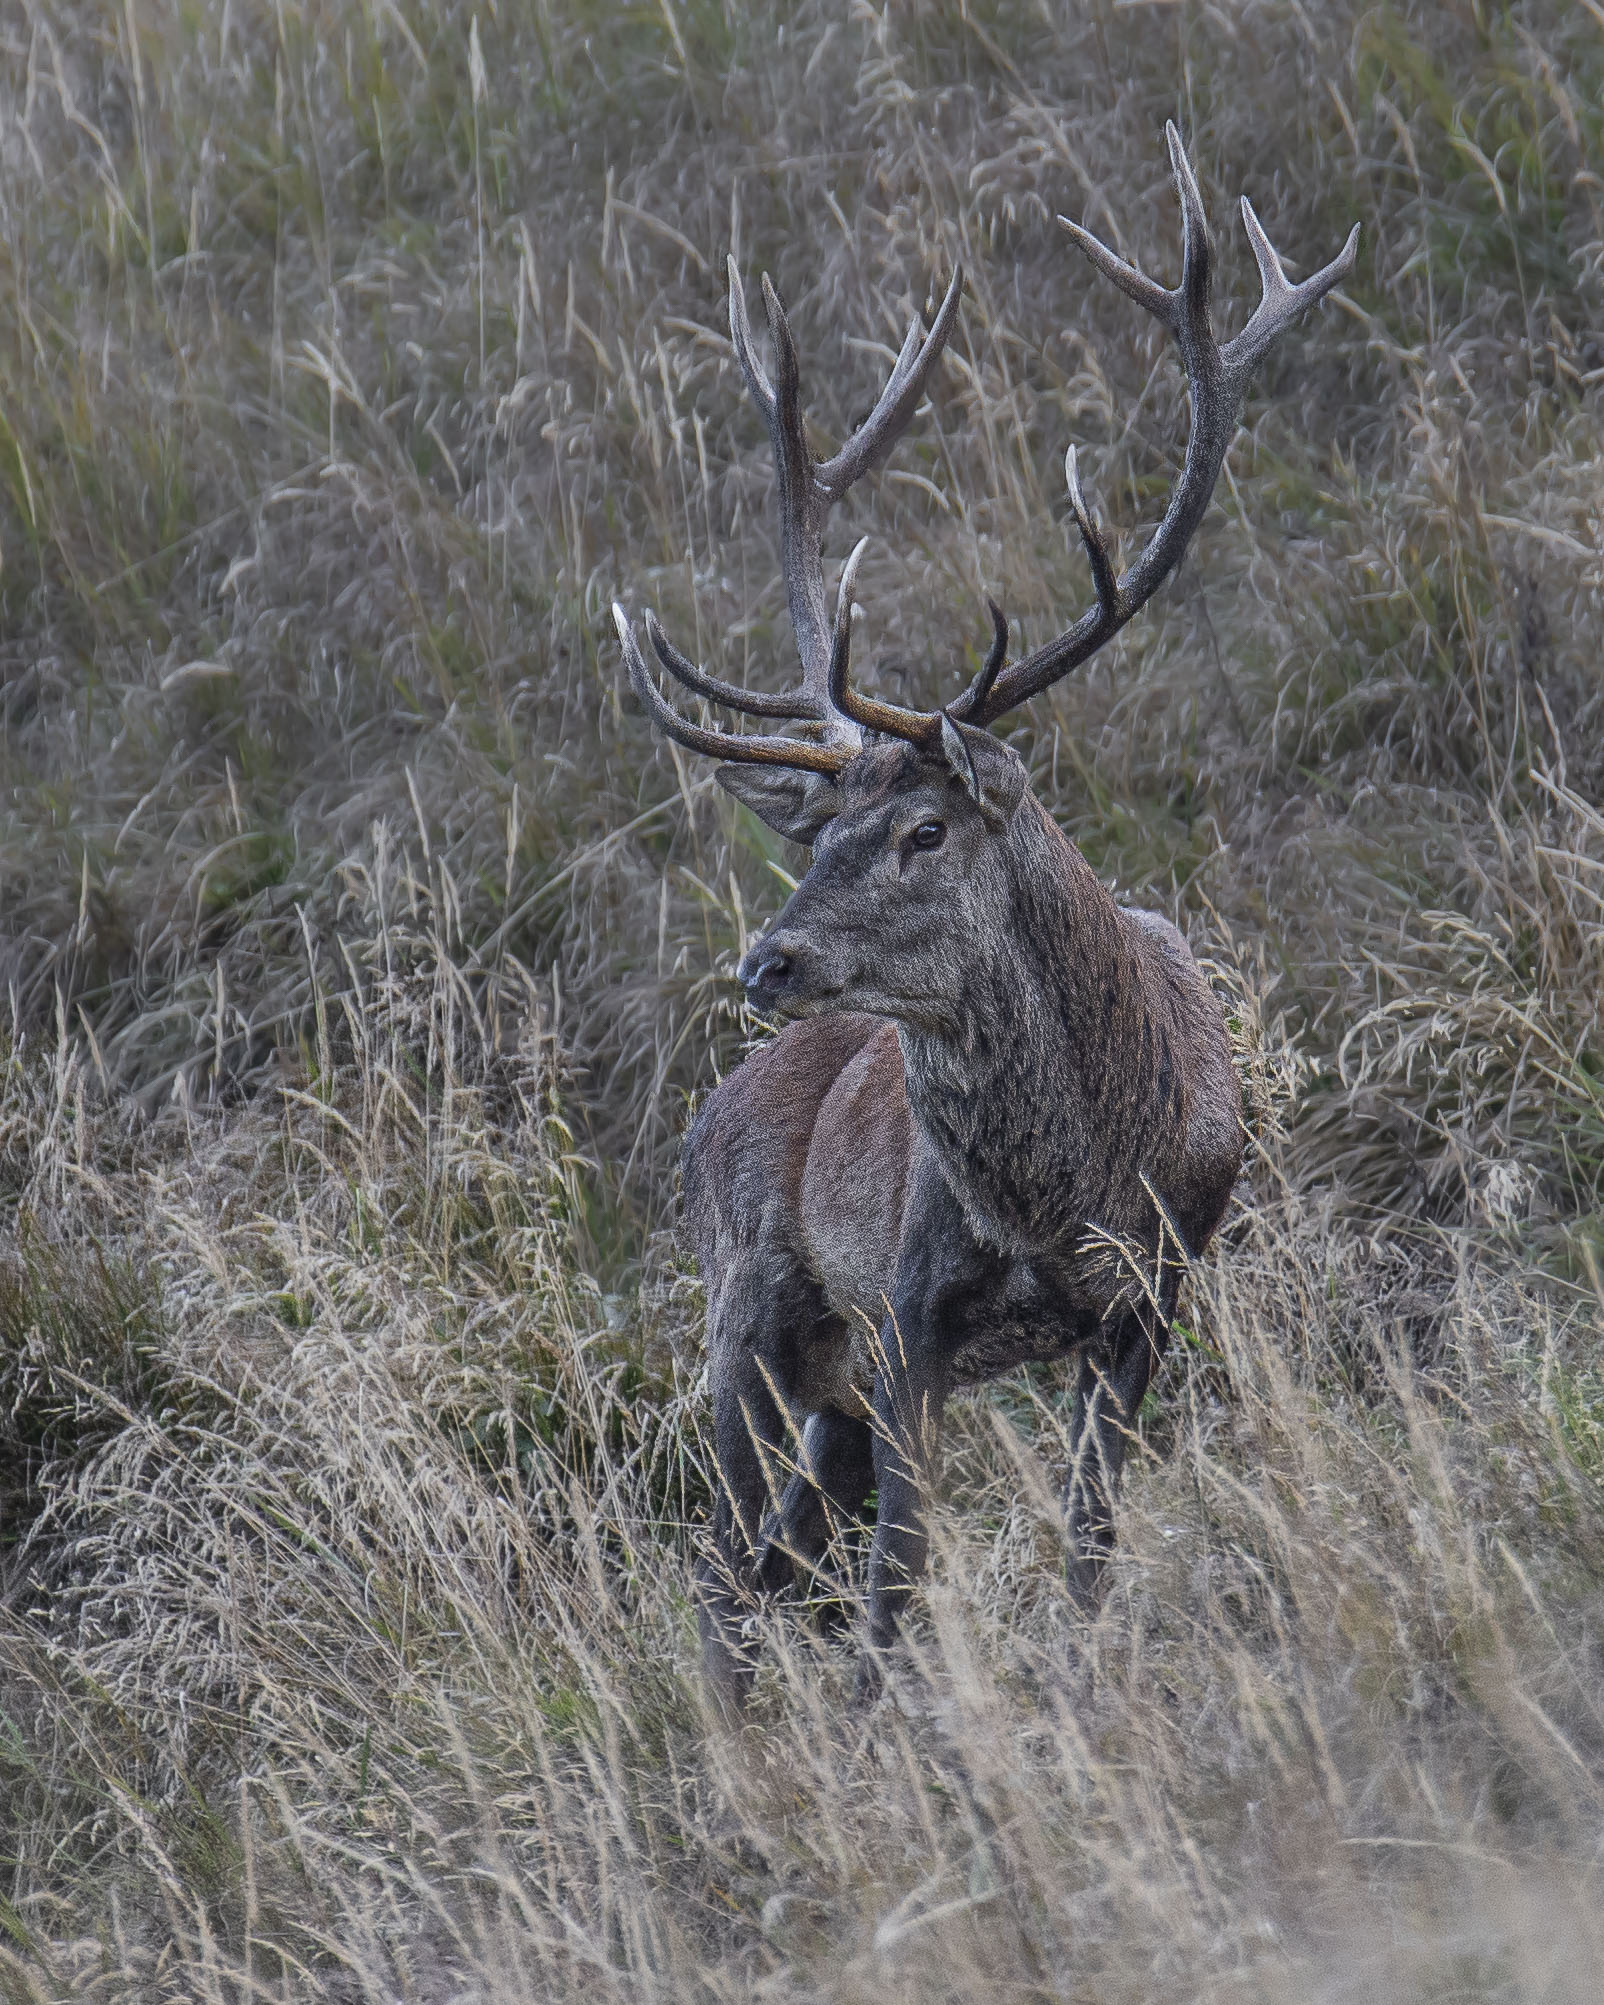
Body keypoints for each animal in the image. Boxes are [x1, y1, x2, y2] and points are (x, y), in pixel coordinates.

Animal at [612, 126, 1357, 1709]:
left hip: (818, 1383)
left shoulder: (1153, 1294)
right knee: (723, 1574)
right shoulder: (908, 1319)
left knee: (777, 1560)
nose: (768, 958)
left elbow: (1086, 1547)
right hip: (745, 1309)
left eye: (922, 828)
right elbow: (900, 1585)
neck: (1065, 1194)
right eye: (822, 832)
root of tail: (708, 1114)